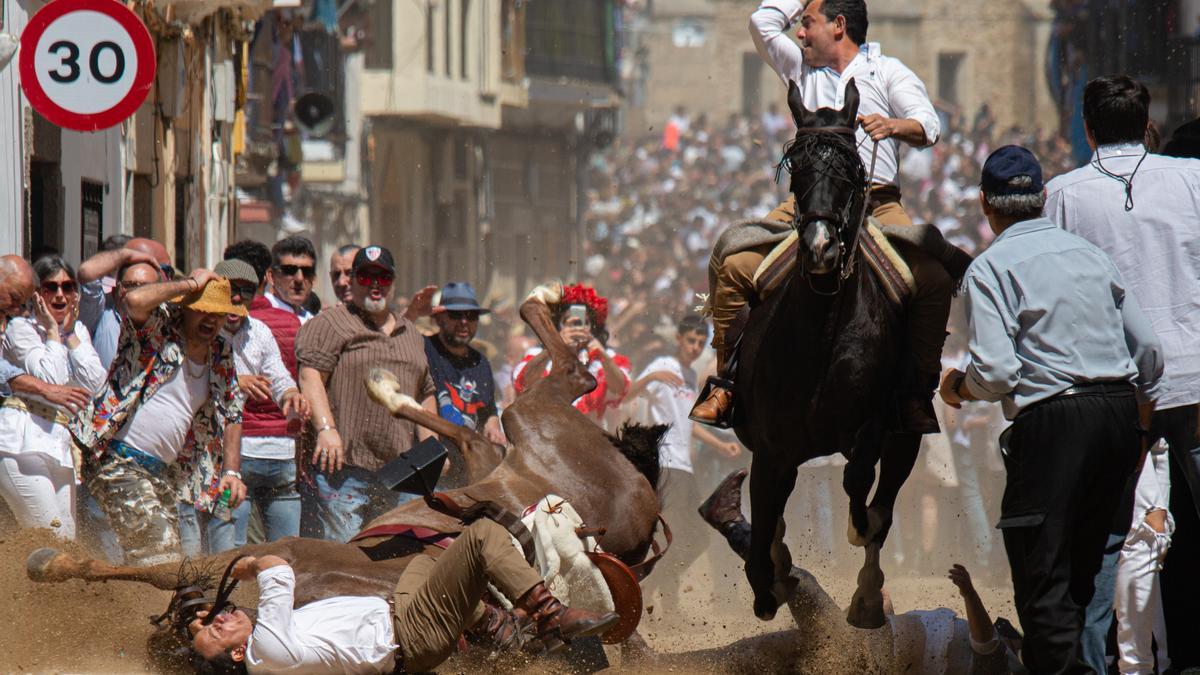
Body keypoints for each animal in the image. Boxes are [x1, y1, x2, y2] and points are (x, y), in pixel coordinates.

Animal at [25, 278, 667, 653]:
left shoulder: (280, 552)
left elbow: (172, 569)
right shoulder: (265, 555)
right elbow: (163, 570)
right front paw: (52, 563)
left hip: (533, 421)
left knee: (571, 373)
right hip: (501, 449)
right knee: (481, 422)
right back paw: (393, 386)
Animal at [734, 79, 921, 629]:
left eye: (854, 169)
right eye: (795, 167)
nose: (820, 249)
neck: (820, 334)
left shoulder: (871, 427)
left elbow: (861, 487)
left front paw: (861, 533)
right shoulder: (771, 446)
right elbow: (765, 511)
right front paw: (768, 583)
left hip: (907, 435)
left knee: (885, 496)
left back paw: (867, 595)